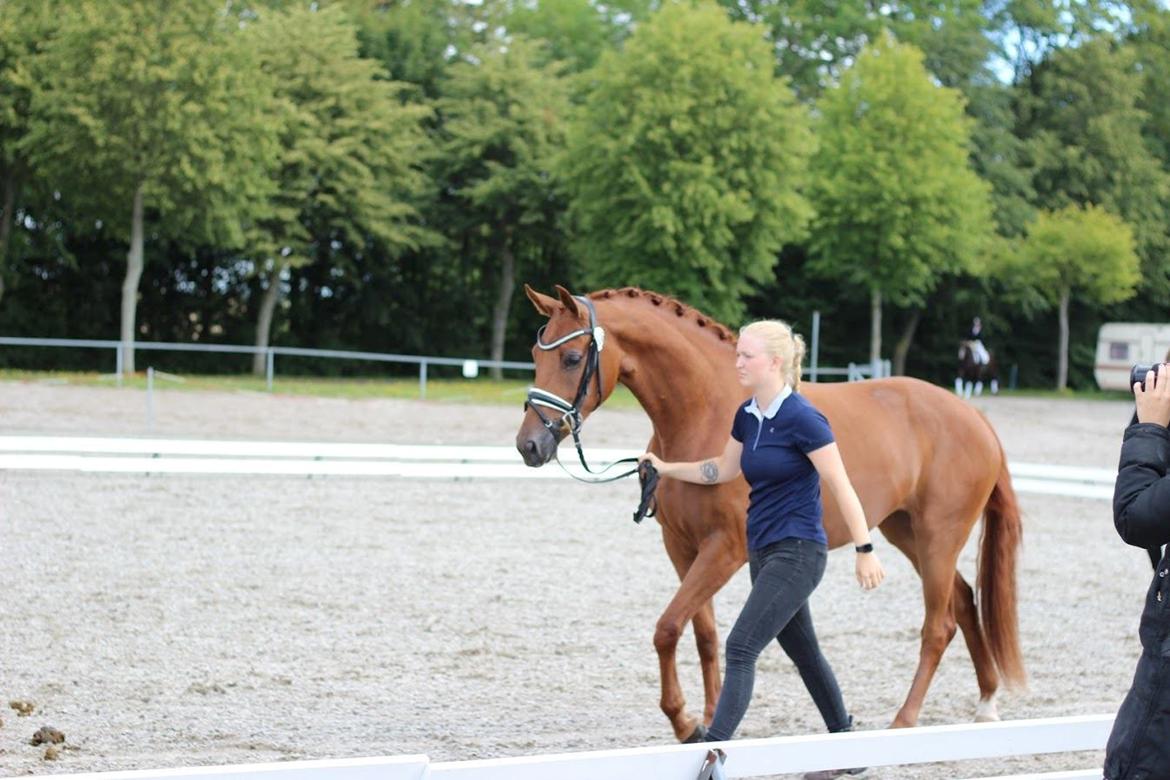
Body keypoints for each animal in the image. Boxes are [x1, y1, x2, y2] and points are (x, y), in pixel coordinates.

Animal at [514, 284, 1024, 743]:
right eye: (536, 355)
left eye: (572, 359)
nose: (529, 446)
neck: (706, 411)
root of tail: (976, 419)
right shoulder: (682, 547)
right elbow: (703, 634)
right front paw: (709, 716)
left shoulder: (724, 550)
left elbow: (668, 627)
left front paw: (683, 720)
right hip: (907, 534)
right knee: (964, 600)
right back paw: (986, 702)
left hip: (939, 536)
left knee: (939, 625)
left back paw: (905, 720)